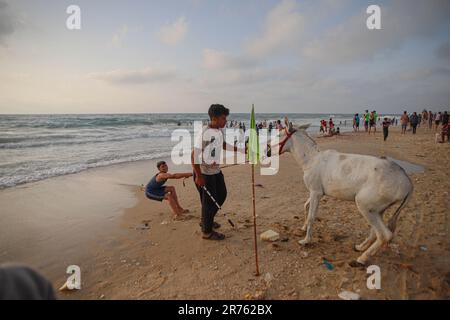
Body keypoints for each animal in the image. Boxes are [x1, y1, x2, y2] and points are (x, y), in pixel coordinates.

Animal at [278, 122, 414, 264]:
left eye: (278, 135)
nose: (269, 150)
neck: (311, 159)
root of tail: (407, 182)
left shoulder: (315, 193)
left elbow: (311, 216)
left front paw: (306, 240)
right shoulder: (316, 192)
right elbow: (306, 206)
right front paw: (303, 228)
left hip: (364, 205)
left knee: (384, 235)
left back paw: (362, 258)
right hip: (377, 210)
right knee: (375, 232)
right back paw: (361, 247)